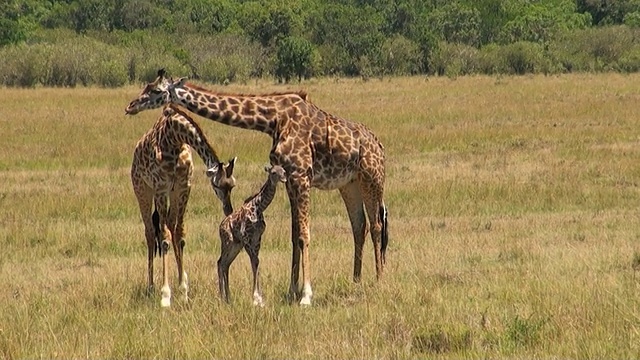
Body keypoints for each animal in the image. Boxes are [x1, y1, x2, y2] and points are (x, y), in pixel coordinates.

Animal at [129, 103, 236, 306]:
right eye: (217, 185)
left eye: (232, 184)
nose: (229, 210)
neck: (174, 139)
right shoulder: (161, 188)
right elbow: (164, 239)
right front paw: (165, 295)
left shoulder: (183, 187)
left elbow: (179, 235)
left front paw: (184, 290)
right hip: (143, 190)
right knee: (150, 233)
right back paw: (151, 287)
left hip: (170, 194)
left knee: (170, 225)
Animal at [219, 165, 286, 306]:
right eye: (273, 172)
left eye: (283, 171)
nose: (284, 178)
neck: (259, 207)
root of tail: (220, 227)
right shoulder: (246, 238)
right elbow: (254, 261)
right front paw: (256, 297)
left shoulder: (257, 239)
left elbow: (256, 263)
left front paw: (259, 297)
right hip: (228, 242)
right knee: (220, 263)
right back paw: (222, 297)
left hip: (236, 246)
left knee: (225, 264)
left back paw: (228, 297)